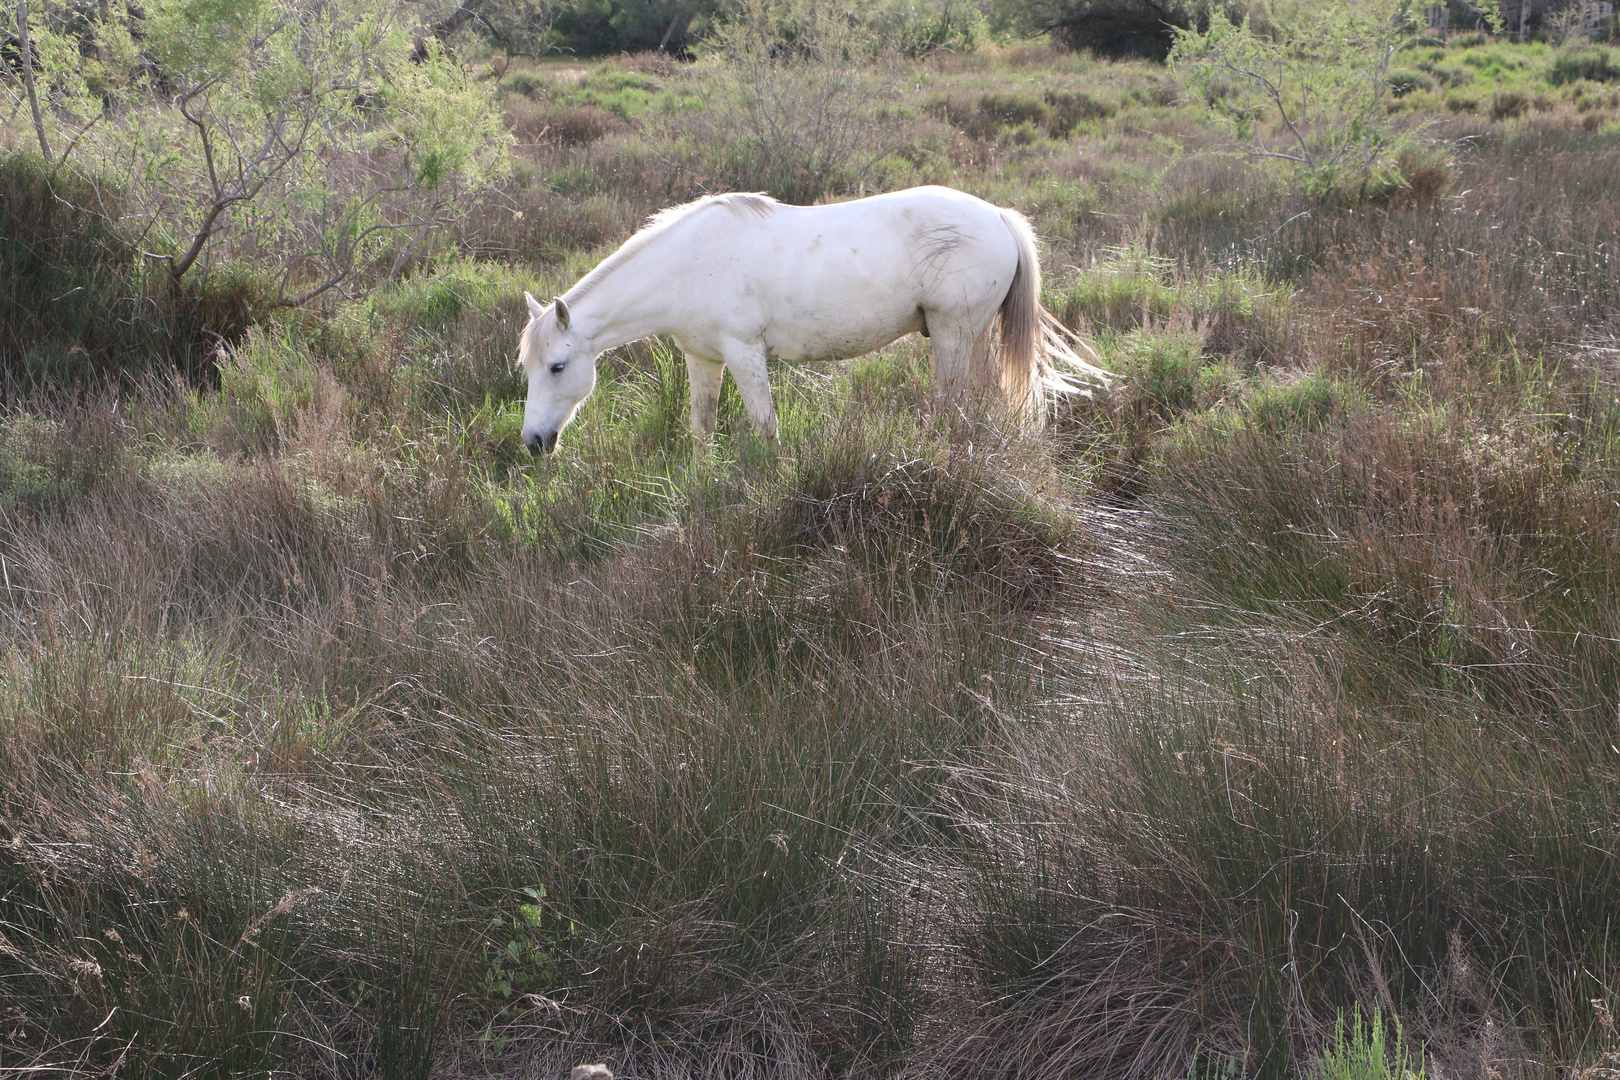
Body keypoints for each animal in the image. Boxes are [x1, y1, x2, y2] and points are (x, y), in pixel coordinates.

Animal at [511, 184, 1108, 453]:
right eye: (529, 369)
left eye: (558, 367)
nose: (535, 441)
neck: (688, 264)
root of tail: (999, 217)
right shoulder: (703, 358)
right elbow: (701, 429)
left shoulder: (744, 354)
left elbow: (766, 428)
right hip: (970, 337)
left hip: (953, 336)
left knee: (956, 407)